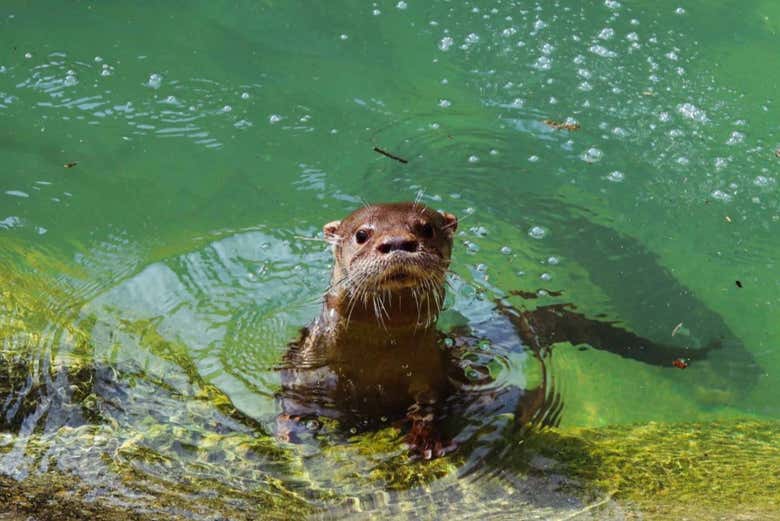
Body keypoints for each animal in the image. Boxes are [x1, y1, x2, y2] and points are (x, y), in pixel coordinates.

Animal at [276, 201, 732, 458]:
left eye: (425, 228)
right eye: (362, 235)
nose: (399, 243)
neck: (377, 354)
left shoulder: (430, 369)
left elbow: (428, 403)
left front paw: (425, 439)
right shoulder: (309, 362)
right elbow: (293, 397)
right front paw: (290, 431)